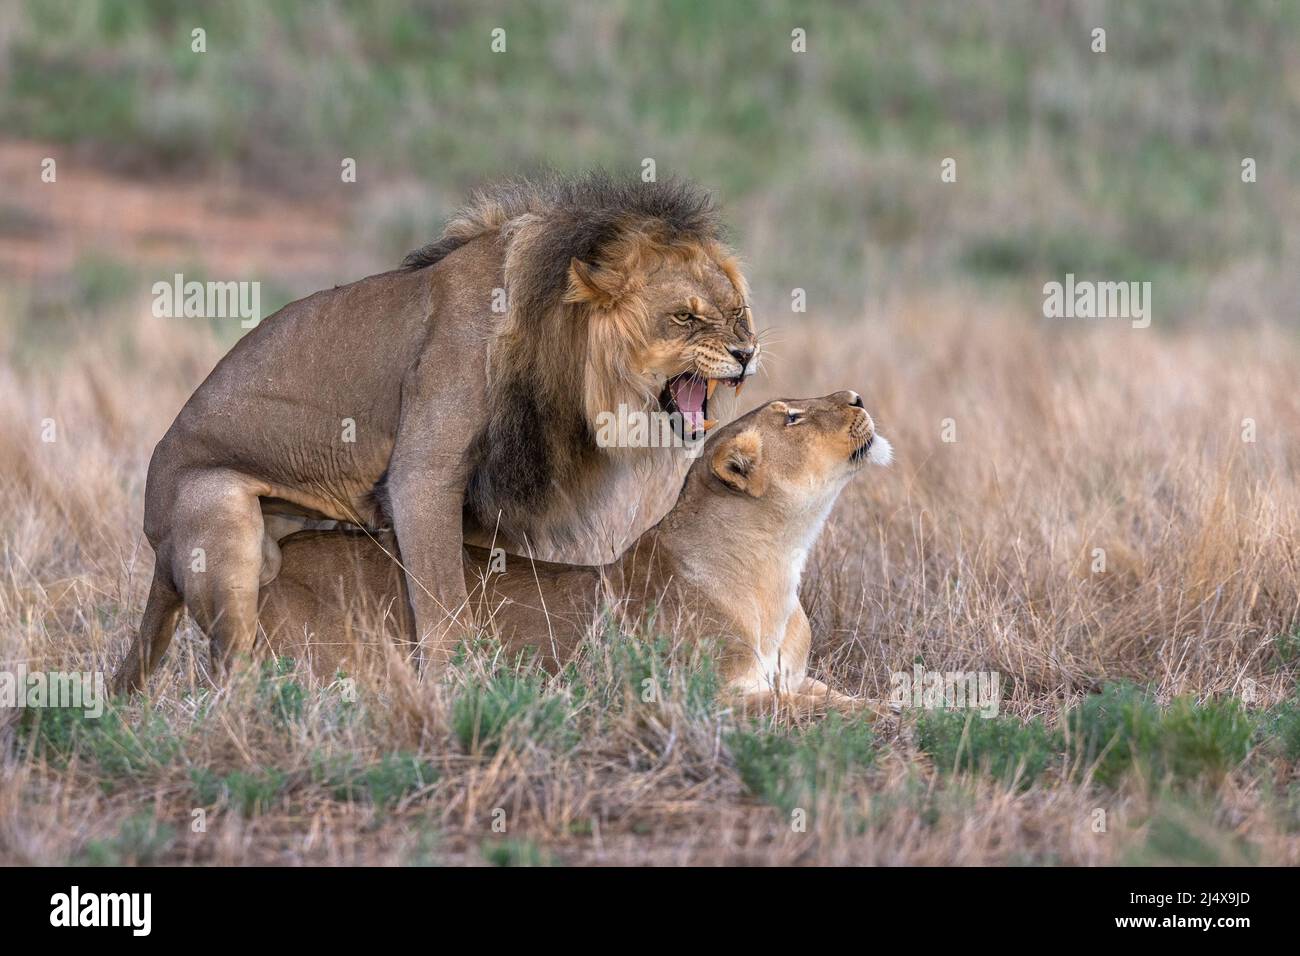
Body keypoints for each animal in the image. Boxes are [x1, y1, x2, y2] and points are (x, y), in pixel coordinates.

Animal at [119, 175, 759, 691]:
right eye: (685, 317)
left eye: (737, 314)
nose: (747, 353)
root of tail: (155, 539)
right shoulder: (421, 479)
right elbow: (443, 599)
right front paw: (461, 686)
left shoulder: (487, 503)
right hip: (220, 517)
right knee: (229, 667)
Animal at [257, 392, 889, 712]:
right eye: (793, 417)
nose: (858, 395)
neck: (779, 565)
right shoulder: (706, 697)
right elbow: (808, 709)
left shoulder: (793, 676)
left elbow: (839, 695)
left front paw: (906, 706)